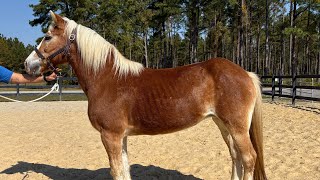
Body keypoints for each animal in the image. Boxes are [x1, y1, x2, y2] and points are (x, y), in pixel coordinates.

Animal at [23, 11, 266, 180]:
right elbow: (124, 169)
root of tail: (245, 73)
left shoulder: (110, 136)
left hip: (236, 127)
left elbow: (116, 171)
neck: (107, 78)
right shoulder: (121, 137)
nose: (28, 64)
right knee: (236, 157)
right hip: (223, 124)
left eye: (47, 37)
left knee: (248, 158)